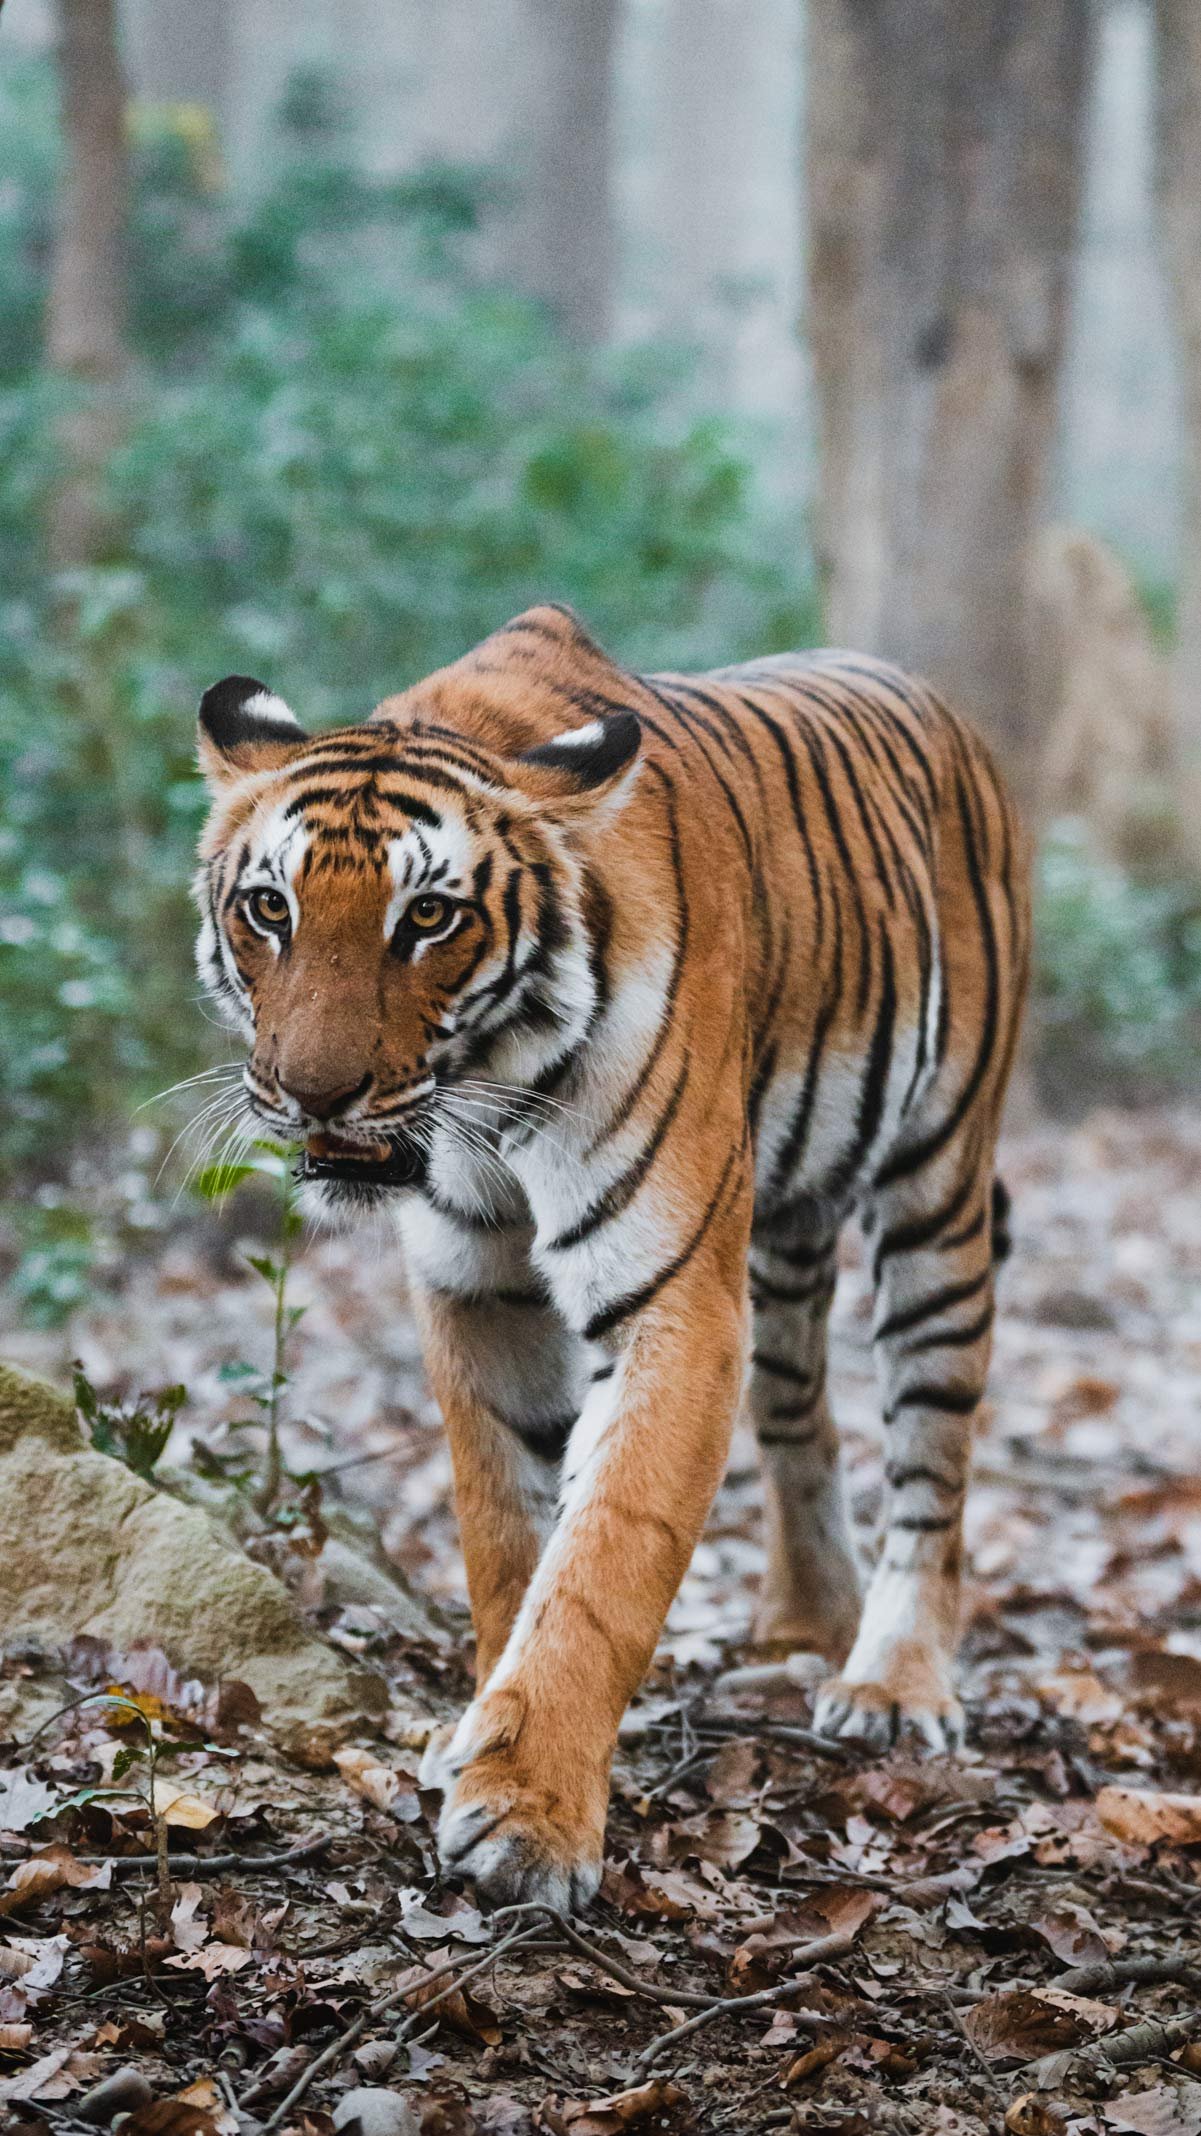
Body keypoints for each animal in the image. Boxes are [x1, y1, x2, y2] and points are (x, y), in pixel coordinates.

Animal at [194, 602, 1030, 1912]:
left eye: (426, 917)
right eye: (269, 909)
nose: (313, 1092)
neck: (486, 1093)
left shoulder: (672, 1302)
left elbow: (602, 1560)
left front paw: (528, 1818)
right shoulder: (475, 1289)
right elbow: (506, 1535)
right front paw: (480, 1734)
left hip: (937, 1191)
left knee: (931, 1461)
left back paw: (892, 1681)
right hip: (786, 1230)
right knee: (801, 1414)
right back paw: (807, 1623)